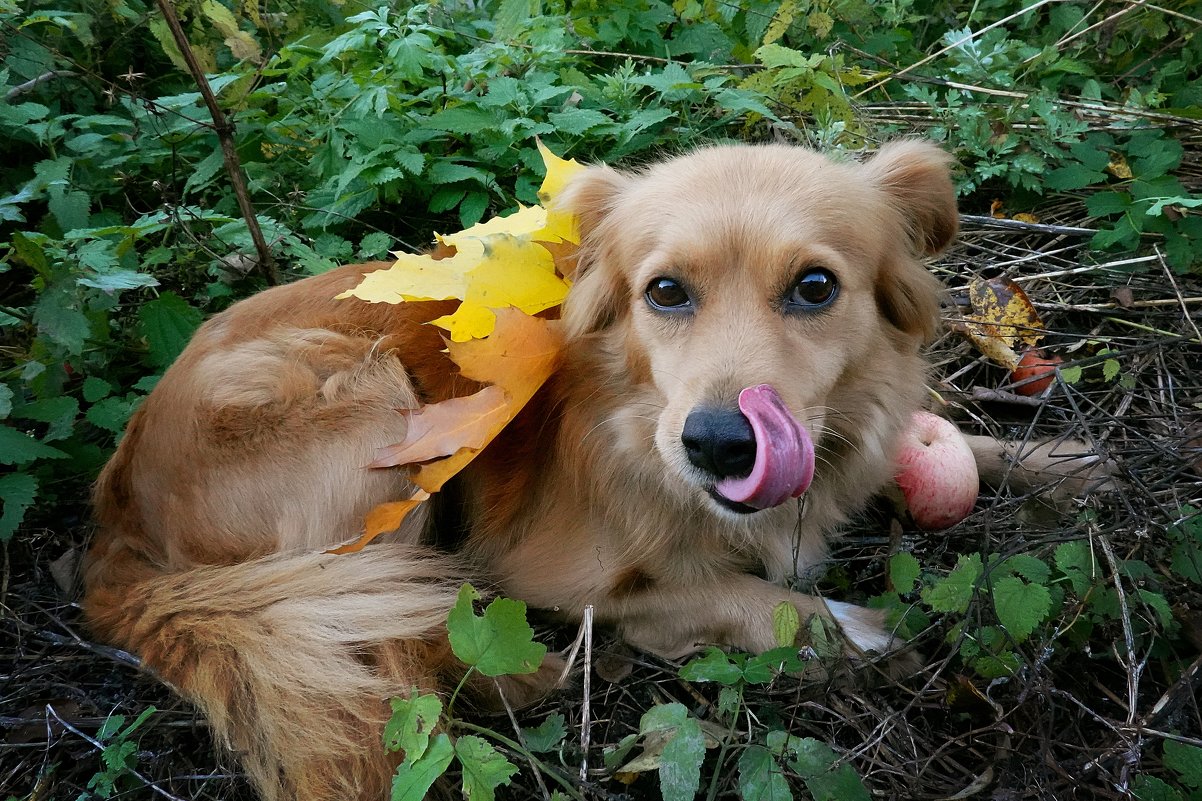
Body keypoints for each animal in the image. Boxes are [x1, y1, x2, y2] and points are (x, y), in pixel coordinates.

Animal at [82, 141, 1101, 798]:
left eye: (816, 286)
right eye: (665, 291)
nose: (720, 443)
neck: (634, 415)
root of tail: (115, 511)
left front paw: (1051, 462)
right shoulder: (555, 568)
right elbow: (725, 593)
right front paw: (846, 631)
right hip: (381, 414)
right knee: (398, 637)